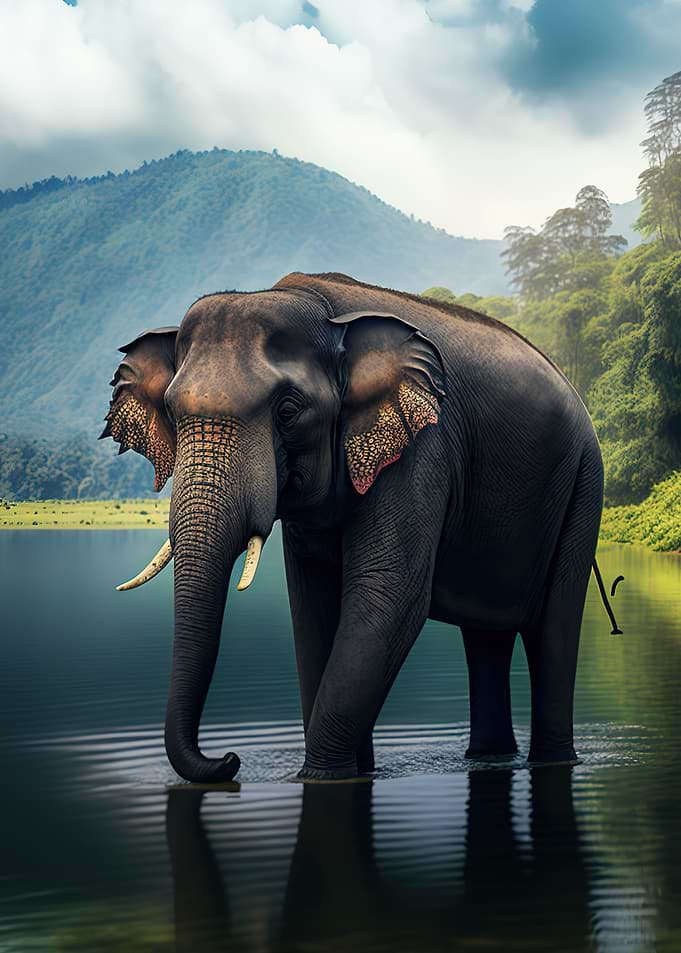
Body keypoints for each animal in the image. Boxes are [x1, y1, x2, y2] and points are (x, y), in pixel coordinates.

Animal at [101, 271, 620, 783]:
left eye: (287, 412)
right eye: (171, 413)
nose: (230, 761)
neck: (318, 308)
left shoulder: (423, 445)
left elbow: (388, 594)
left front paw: (319, 778)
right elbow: (311, 605)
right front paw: (351, 772)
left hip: (583, 483)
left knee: (552, 632)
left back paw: (553, 761)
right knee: (486, 637)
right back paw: (489, 757)